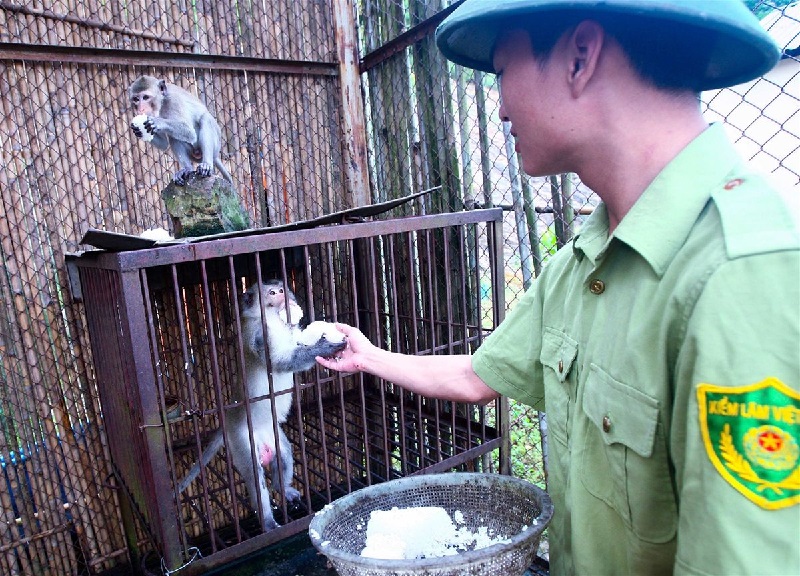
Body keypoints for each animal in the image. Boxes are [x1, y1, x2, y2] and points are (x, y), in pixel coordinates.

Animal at [72, 209, 506, 572]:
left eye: (281, 287)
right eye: (268, 293)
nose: (283, 292)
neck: (274, 321)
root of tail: (232, 421)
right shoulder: (258, 336)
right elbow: (279, 363)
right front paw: (324, 347)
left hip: (275, 440)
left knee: (282, 460)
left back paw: (288, 489)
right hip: (244, 441)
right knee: (256, 480)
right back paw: (267, 516)